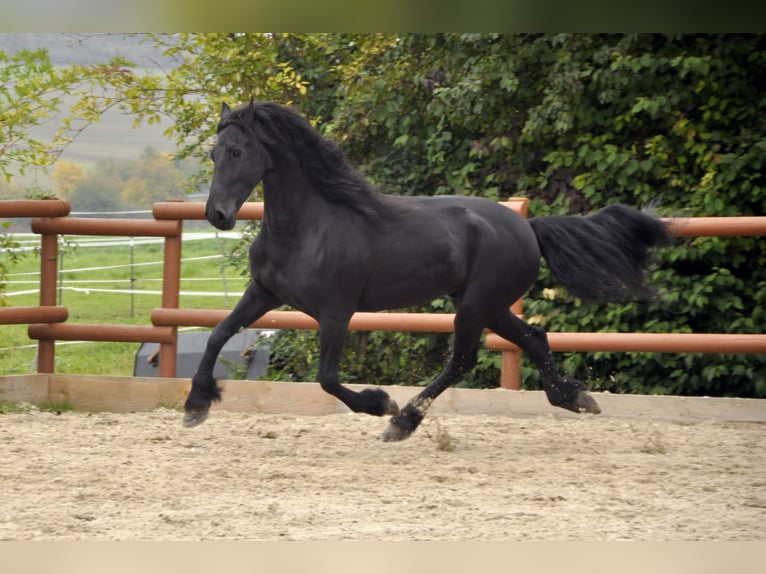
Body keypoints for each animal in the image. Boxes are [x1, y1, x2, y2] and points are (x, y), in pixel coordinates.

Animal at [183, 100, 672, 441]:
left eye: (237, 150)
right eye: (213, 155)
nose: (218, 215)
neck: (307, 227)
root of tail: (528, 227)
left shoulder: (336, 312)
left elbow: (327, 378)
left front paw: (379, 403)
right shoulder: (263, 293)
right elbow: (218, 334)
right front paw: (196, 404)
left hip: (475, 306)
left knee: (463, 359)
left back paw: (403, 420)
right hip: (490, 305)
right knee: (534, 338)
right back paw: (575, 397)